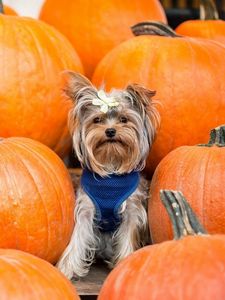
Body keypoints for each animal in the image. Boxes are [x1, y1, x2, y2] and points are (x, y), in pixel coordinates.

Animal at [57, 71, 159, 278]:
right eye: (97, 120)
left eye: (124, 119)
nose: (110, 131)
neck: (111, 165)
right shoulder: (86, 209)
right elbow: (78, 238)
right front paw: (67, 268)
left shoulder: (132, 211)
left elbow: (128, 236)